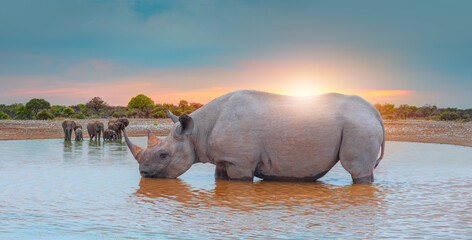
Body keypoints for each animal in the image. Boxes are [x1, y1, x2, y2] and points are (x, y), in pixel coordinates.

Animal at [124, 89, 384, 184]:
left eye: (163, 154)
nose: (143, 174)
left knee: (356, 168)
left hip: (358, 126)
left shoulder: (239, 162)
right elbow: (220, 178)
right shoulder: (225, 159)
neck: (196, 131)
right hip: (361, 123)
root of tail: (375, 112)